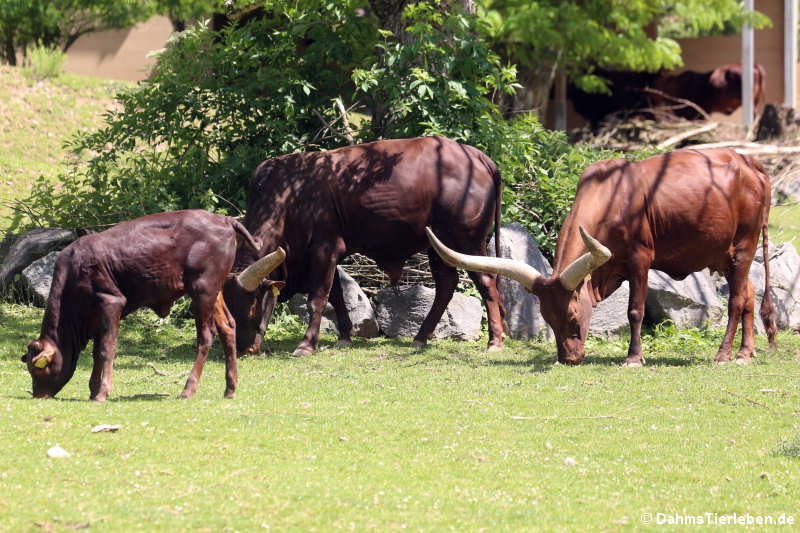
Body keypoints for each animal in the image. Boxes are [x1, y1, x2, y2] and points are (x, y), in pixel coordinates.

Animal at [21, 210, 286, 402]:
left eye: (38, 369)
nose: (39, 395)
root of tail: (224, 219)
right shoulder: (97, 316)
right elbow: (98, 351)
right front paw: (93, 389)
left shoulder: (111, 302)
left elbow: (106, 349)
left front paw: (101, 392)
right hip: (214, 291)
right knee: (228, 327)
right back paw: (230, 389)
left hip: (202, 291)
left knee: (206, 335)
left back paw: (188, 390)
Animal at [222, 135, 504, 356]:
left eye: (251, 304)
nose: (243, 348)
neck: (291, 194)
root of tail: (477, 156)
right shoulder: (326, 256)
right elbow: (336, 295)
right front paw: (344, 336)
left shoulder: (324, 250)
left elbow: (318, 298)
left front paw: (306, 345)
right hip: (437, 245)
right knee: (446, 285)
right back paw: (420, 338)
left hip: (466, 241)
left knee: (486, 281)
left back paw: (495, 341)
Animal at [428, 149, 780, 366]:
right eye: (547, 318)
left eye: (572, 316)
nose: (568, 358)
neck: (613, 196)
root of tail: (751, 164)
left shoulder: (640, 258)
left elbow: (635, 310)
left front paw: (633, 358)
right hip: (723, 255)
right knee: (748, 294)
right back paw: (746, 352)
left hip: (744, 247)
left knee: (736, 300)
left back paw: (724, 354)